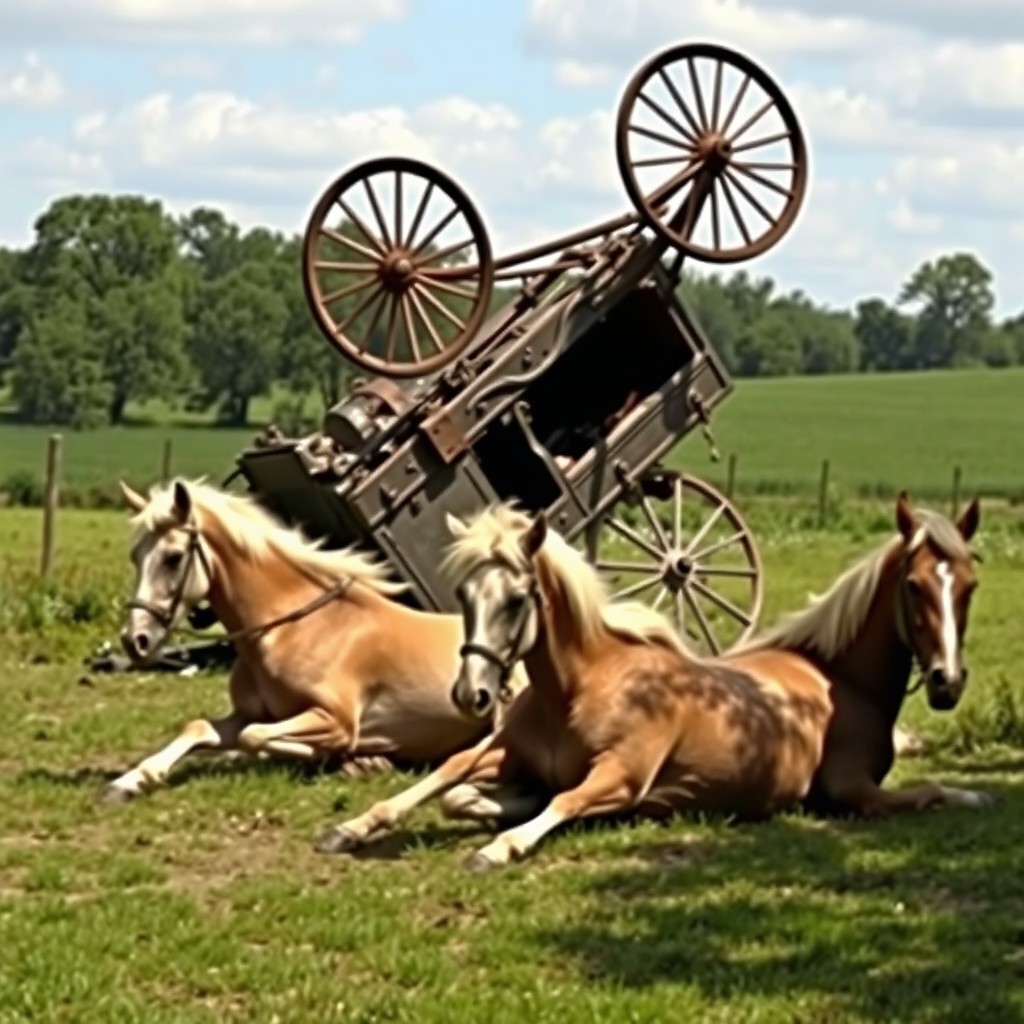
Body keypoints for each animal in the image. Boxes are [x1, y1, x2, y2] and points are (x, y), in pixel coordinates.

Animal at [102, 478, 524, 802]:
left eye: (173, 557)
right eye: (135, 556)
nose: (135, 640)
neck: (292, 630)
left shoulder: (333, 718)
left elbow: (256, 737)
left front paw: (351, 758)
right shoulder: (247, 715)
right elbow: (200, 728)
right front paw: (131, 780)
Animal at [314, 491, 990, 870]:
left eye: (969, 586)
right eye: (914, 586)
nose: (947, 682)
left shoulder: (623, 774)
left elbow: (562, 800)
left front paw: (498, 846)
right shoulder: (503, 748)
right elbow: (449, 778)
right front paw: (354, 827)